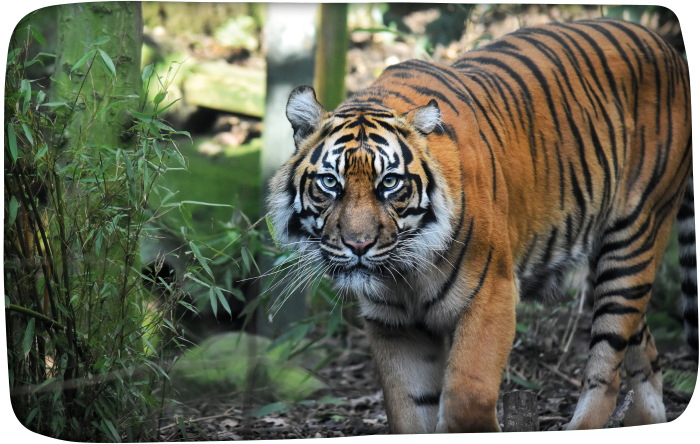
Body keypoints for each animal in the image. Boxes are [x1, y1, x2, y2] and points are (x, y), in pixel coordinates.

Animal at [264, 18, 696, 434]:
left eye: (389, 183)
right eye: (329, 182)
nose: (358, 245)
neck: (405, 275)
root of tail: (667, 48)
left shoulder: (491, 296)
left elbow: (465, 399)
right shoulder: (393, 324)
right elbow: (409, 409)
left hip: (634, 238)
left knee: (608, 364)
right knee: (645, 351)